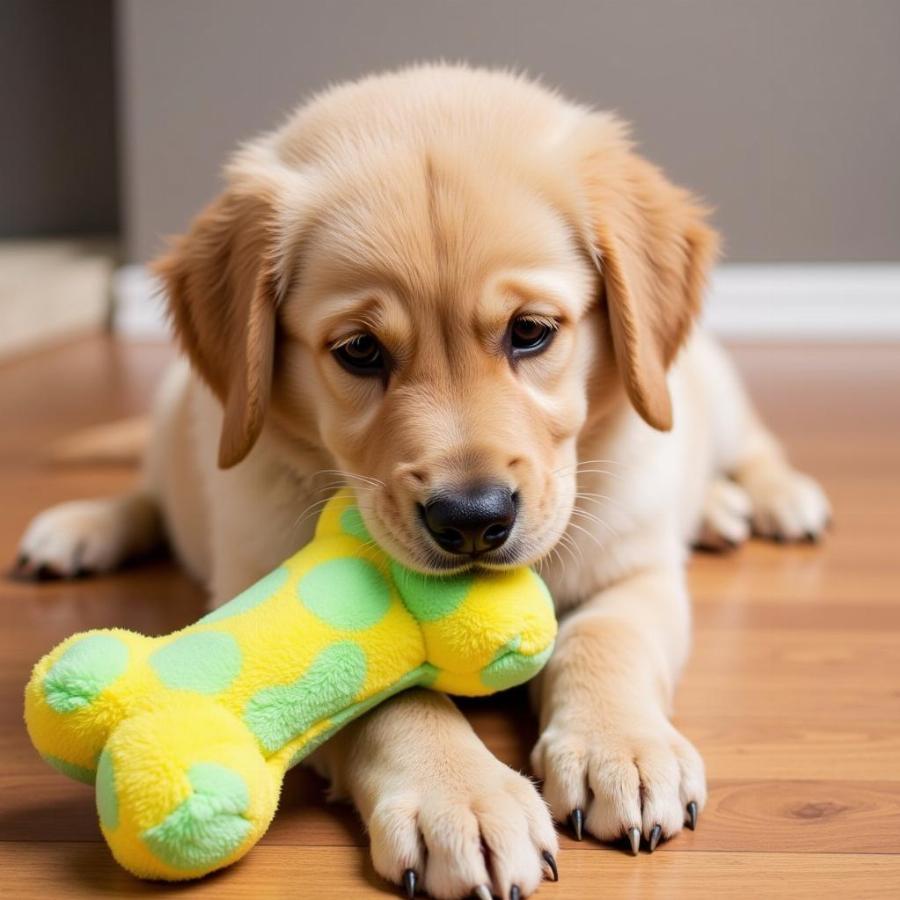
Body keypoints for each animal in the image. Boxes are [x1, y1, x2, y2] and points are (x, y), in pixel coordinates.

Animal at [17, 67, 828, 896]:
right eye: (360, 350)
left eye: (530, 332)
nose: (472, 519)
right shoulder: (253, 572)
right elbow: (377, 694)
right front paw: (462, 798)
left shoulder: (635, 568)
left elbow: (606, 640)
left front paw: (622, 749)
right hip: (174, 418)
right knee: (150, 494)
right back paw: (81, 528)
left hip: (707, 387)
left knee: (752, 444)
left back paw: (763, 500)